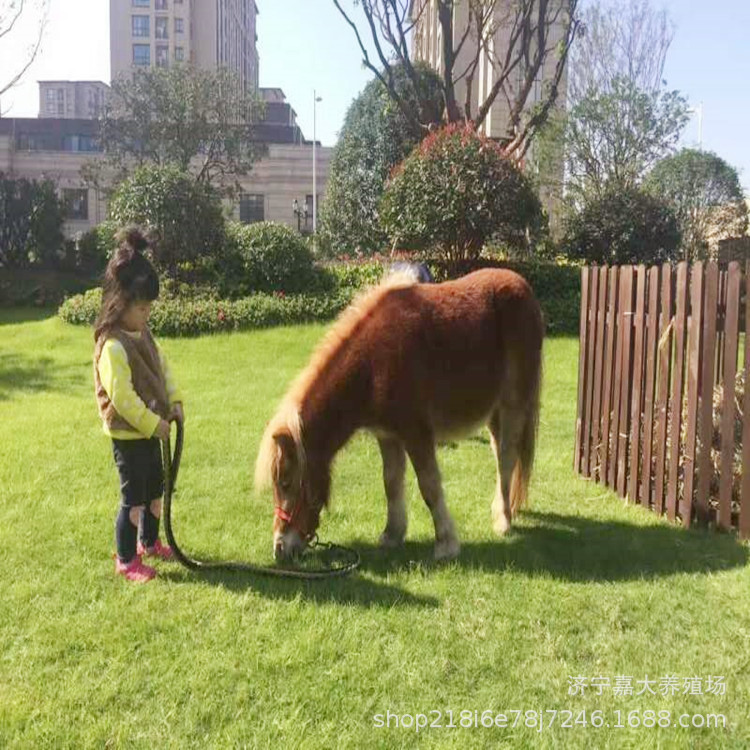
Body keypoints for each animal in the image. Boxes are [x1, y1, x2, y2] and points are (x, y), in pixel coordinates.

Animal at [255, 268, 544, 562]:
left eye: (285, 482)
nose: (280, 548)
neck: (373, 365)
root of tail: (522, 286)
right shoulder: (388, 436)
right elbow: (391, 483)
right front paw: (392, 534)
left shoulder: (416, 434)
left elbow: (429, 486)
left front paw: (446, 543)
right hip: (493, 412)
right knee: (499, 455)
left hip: (513, 404)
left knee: (507, 457)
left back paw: (504, 521)